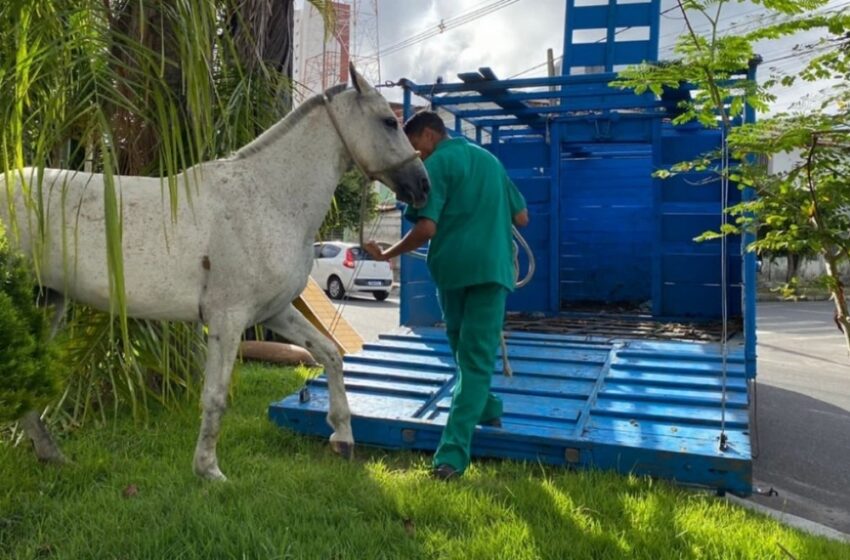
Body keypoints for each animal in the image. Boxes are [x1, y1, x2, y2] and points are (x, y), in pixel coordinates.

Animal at [0, 64, 424, 476]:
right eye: (390, 121)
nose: (421, 185)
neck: (268, 197)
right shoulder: (228, 318)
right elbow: (216, 396)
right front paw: (209, 470)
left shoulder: (273, 312)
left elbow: (331, 354)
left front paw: (343, 438)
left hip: (47, 302)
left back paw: (51, 454)